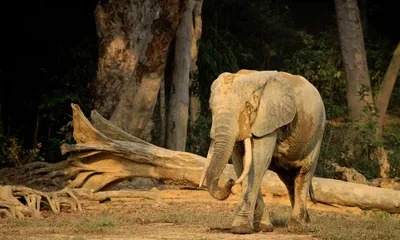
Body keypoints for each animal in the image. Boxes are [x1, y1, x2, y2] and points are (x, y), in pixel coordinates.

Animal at [198, 69, 326, 234]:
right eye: (211, 110)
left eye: (247, 106)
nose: (230, 181)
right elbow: (241, 165)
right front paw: (264, 227)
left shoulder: (268, 121)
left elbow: (257, 162)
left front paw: (240, 229)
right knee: (289, 179)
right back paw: (306, 222)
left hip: (317, 133)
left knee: (304, 173)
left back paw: (297, 225)